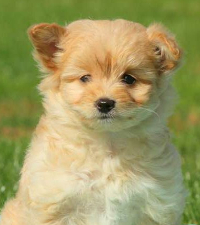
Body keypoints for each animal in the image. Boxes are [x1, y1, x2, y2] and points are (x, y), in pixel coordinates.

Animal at [1, 19, 186, 225]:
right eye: (85, 78)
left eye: (128, 78)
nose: (104, 103)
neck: (108, 146)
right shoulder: (55, 201)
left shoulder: (156, 205)